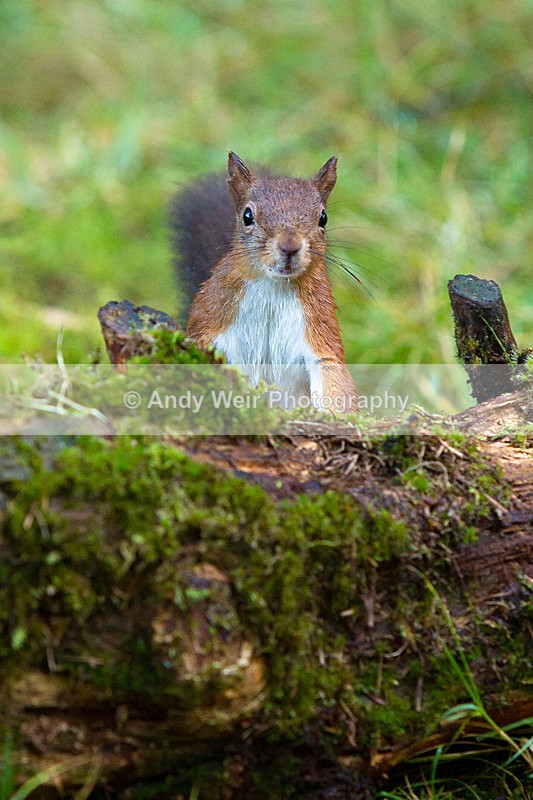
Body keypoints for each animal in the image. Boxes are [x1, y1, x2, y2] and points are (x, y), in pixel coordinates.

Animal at [170, 152, 357, 411]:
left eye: (323, 218)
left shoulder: (319, 327)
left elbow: (332, 374)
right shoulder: (211, 320)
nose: (289, 246)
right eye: (247, 216)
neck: (274, 287)